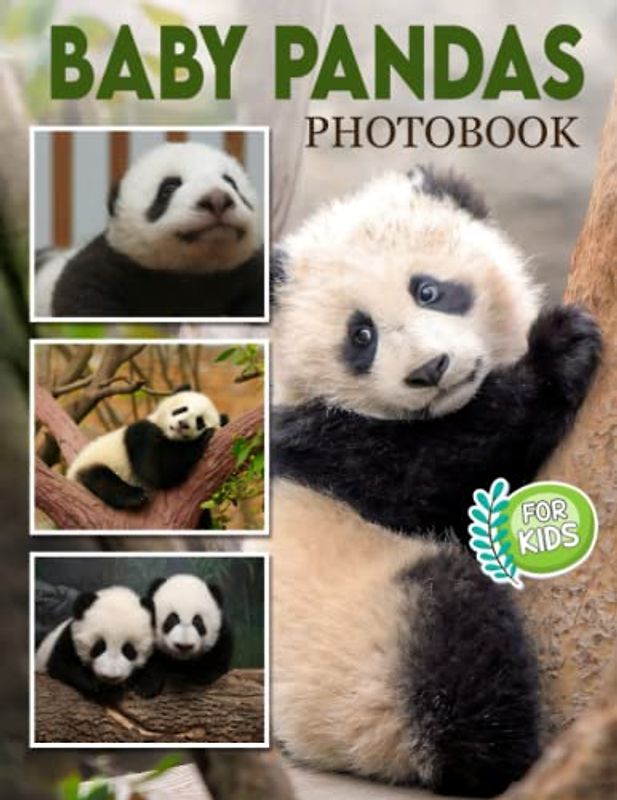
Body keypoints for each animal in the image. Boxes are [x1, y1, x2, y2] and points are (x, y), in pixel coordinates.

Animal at [44, 141, 264, 318]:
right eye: (168, 188)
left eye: (231, 183)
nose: (217, 200)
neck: (194, 268)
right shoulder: (118, 265)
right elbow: (81, 297)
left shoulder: (246, 271)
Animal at [67, 389, 227, 510]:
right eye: (181, 409)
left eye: (200, 422)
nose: (183, 424)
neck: (170, 437)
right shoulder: (140, 434)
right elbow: (157, 471)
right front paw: (204, 437)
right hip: (96, 462)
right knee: (100, 478)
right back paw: (135, 496)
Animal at [263, 167, 602, 797]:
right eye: (361, 335)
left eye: (428, 291)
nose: (429, 370)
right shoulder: (323, 444)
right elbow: (432, 472)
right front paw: (558, 351)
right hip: (371, 649)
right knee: (455, 636)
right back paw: (504, 757)